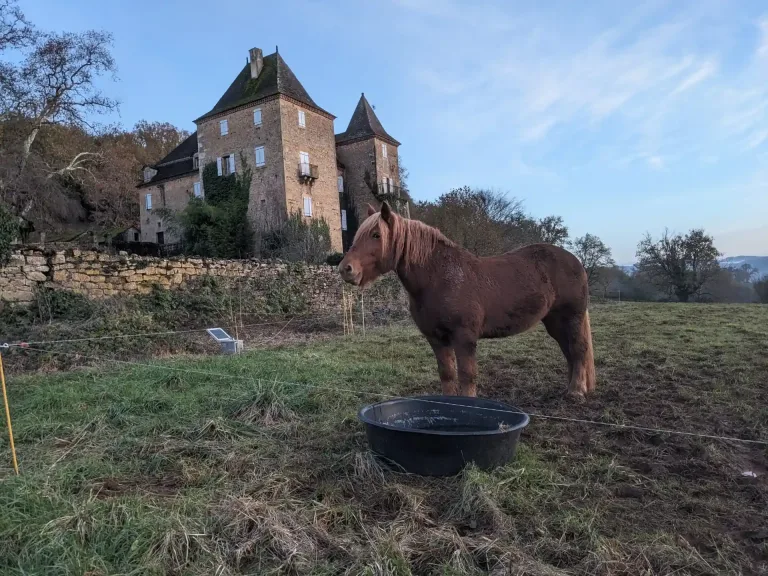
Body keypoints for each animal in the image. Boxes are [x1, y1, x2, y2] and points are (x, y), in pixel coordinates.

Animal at [338, 202, 596, 399]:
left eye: (376, 235)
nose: (345, 269)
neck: (441, 278)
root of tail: (576, 261)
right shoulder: (436, 338)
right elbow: (447, 374)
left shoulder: (464, 337)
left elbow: (467, 375)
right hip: (554, 322)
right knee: (569, 352)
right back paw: (572, 388)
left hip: (571, 318)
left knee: (578, 349)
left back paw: (576, 392)